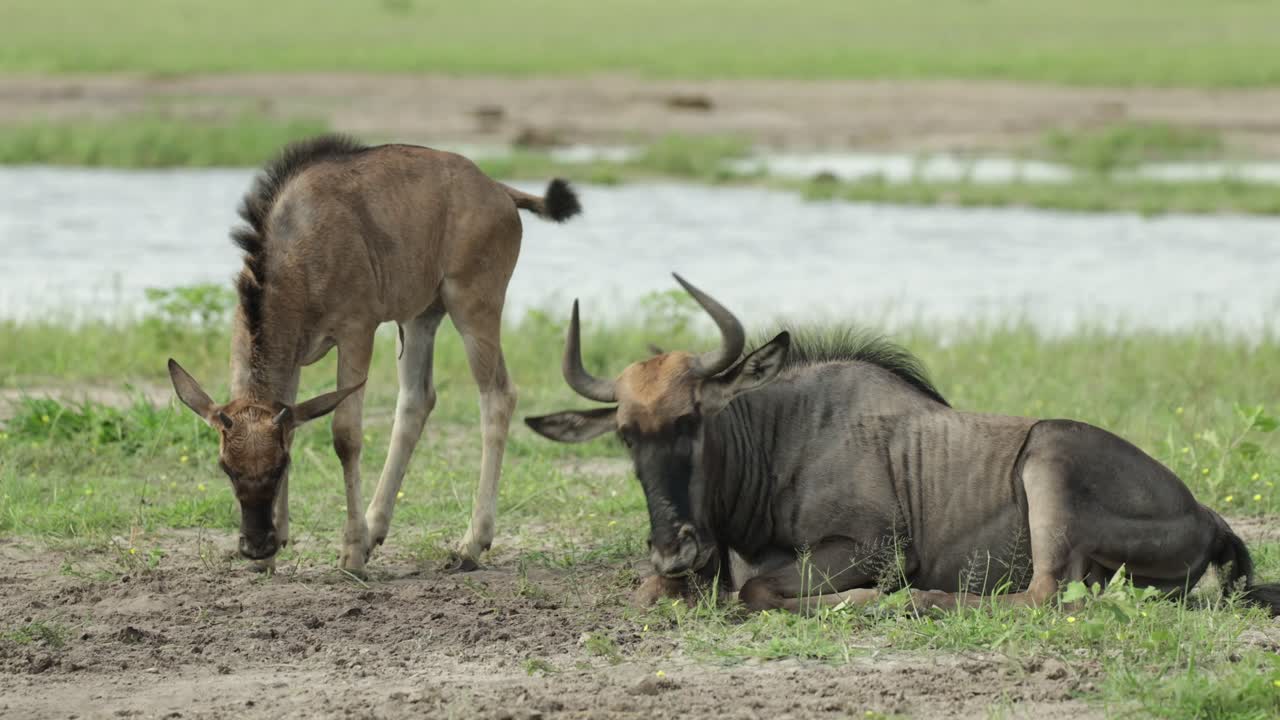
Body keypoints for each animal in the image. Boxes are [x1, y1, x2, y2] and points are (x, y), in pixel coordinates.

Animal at [168, 135, 581, 576]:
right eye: (226, 467)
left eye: (278, 467)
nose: (256, 545)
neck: (297, 250)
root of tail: (499, 190)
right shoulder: (292, 359)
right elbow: (293, 423)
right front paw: (282, 547)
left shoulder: (356, 333)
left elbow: (346, 436)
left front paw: (350, 553)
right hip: (421, 319)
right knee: (416, 401)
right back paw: (375, 530)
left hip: (473, 309)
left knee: (497, 396)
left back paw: (470, 544)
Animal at [525, 274, 1280, 616]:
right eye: (626, 435)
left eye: (693, 421)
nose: (675, 546)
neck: (775, 440)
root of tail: (1205, 514)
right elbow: (655, 591)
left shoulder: (871, 550)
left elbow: (759, 589)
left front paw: (853, 600)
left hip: (1047, 459)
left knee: (1038, 594)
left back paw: (912, 601)